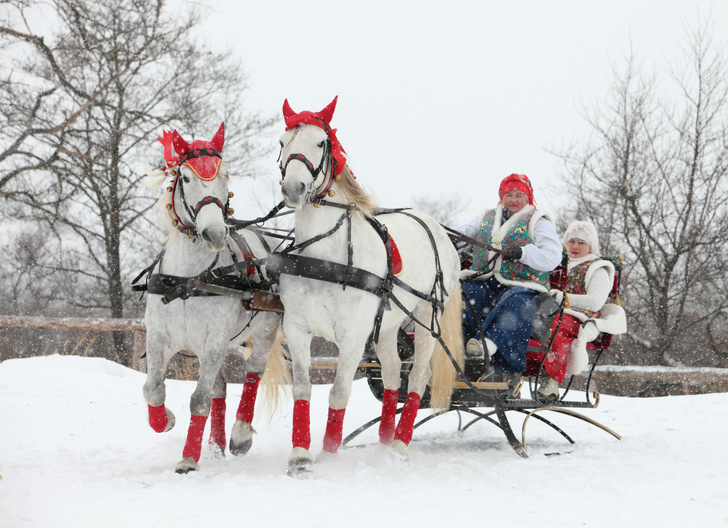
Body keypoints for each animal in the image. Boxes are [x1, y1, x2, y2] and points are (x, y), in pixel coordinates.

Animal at [138, 124, 286, 474]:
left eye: (226, 175)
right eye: (186, 177)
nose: (216, 233)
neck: (188, 282)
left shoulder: (215, 340)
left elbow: (200, 399)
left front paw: (188, 459)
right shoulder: (159, 336)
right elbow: (153, 389)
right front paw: (165, 420)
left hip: (263, 331)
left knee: (253, 373)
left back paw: (239, 436)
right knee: (220, 387)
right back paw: (216, 446)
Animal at [272, 97, 460, 476]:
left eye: (321, 143)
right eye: (282, 143)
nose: (293, 189)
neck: (323, 260)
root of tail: (433, 224)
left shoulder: (353, 334)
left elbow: (339, 391)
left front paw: (329, 455)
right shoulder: (297, 327)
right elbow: (302, 387)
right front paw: (300, 456)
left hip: (426, 317)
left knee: (417, 377)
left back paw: (400, 445)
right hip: (387, 327)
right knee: (391, 377)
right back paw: (386, 442)